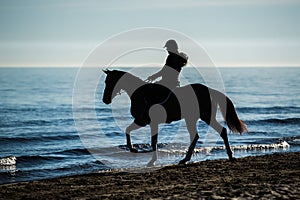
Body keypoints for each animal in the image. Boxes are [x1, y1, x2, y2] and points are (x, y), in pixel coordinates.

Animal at [102, 69, 247, 166]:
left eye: (108, 81)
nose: (105, 100)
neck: (139, 93)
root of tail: (209, 90)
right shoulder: (149, 123)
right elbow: (151, 139)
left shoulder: (143, 121)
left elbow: (137, 134)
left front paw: (135, 150)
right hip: (193, 118)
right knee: (199, 135)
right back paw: (187, 159)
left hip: (204, 117)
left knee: (218, 131)